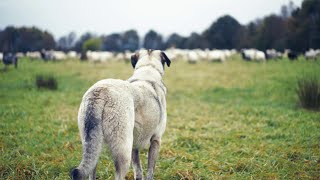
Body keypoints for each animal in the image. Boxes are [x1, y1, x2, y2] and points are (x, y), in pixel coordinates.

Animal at [71, 49, 171, 180]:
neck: (147, 70)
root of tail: (100, 92)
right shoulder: (156, 140)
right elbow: (150, 170)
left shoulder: (135, 145)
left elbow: (138, 169)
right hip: (123, 150)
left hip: (93, 144)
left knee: (91, 169)